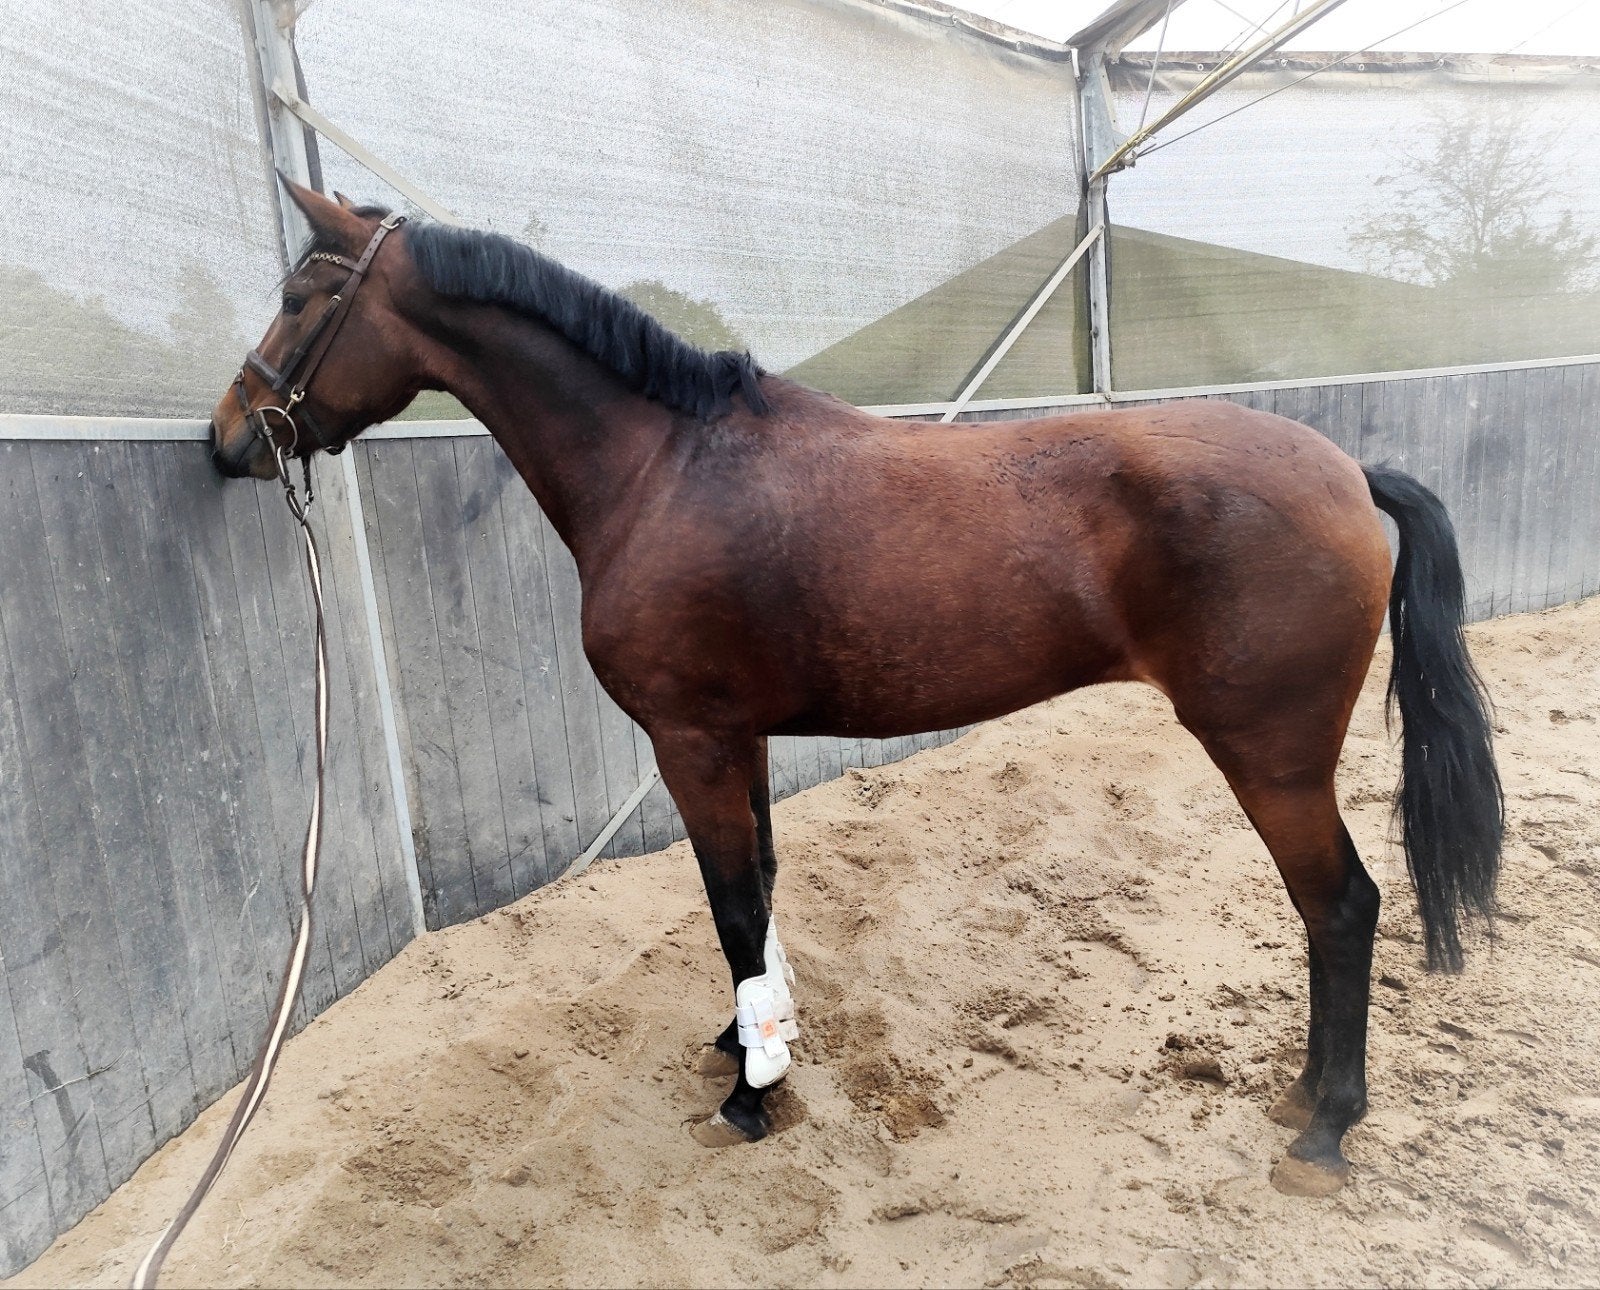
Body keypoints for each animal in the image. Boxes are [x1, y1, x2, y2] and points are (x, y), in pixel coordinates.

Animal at [209, 179, 1503, 1198]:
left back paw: (1325, 1127)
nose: (229, 437)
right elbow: (762, 893)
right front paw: (749, 1043)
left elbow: (733, 905)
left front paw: (750, 1095)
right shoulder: (741, 737)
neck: (666, 468)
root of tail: (1349, 471)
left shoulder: (691, 738)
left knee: (1341, 908)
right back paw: (1304, 1097)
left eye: (301, 297)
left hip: (1270, 755)